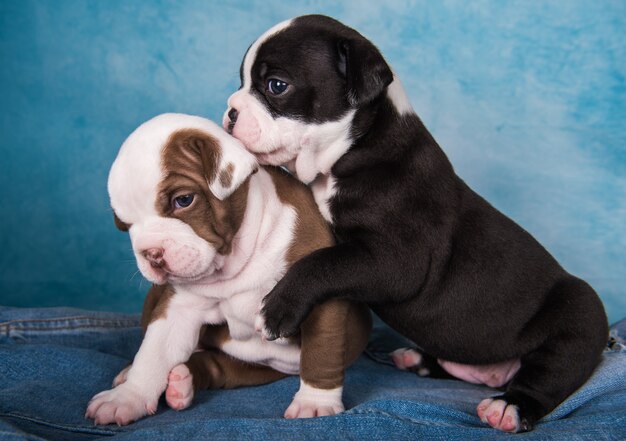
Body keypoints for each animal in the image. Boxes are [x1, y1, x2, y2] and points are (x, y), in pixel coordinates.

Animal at [84, 114, 368, 426]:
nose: (152, 254)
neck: (238, 260)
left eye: (183, 200)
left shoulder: (319, 299)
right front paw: (127, 397)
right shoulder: (179, 307)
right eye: (125, 225)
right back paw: (160, 379)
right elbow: (154, 353)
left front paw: (315, 404)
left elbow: (322, 350)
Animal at [222, 15, 608, 432]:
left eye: (276, 85)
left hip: (578, 317)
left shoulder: (396, 263)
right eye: (241, 82)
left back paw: (509, 406)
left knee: (548, 375)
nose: (230, 111)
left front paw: (276, 308)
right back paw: (417, 359)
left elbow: (322, 263)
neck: (358, 147)